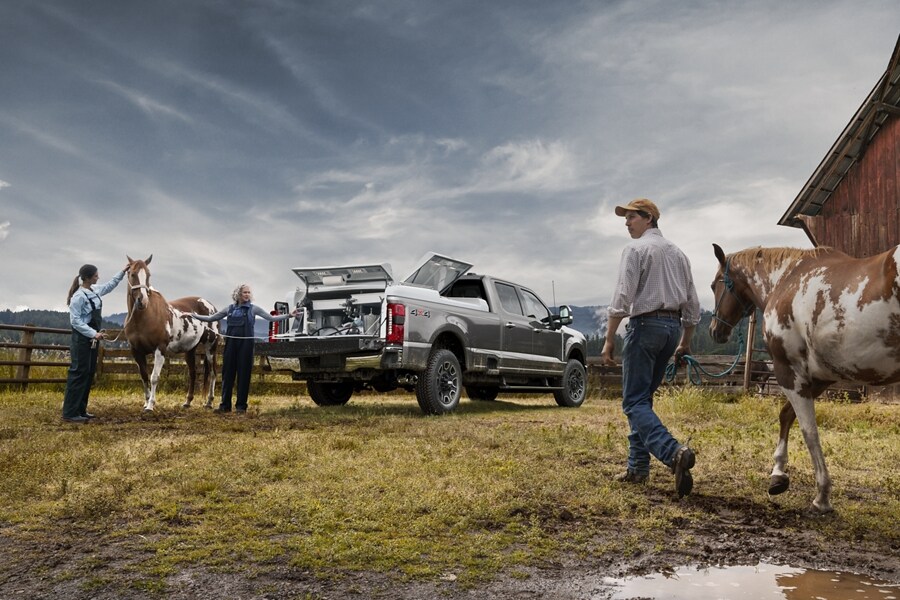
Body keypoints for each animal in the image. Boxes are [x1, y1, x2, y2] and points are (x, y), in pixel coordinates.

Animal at [124, 253, 219, 412]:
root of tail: (212, 307)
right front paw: (145, 402)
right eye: (132, 274)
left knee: (212, 372)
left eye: (148, 275)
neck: (144, 318)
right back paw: (187, 402)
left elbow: (154, 377)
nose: (142, 301)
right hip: (190, 350)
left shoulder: (160, 349)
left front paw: (151, 405)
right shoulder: (136, 351)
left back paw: (209, 402)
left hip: (210, 347)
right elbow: (144, 376)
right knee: (193, 373)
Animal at [712, 241, 900, 512]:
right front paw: (778, 473)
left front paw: (822, 494)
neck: (786, 279)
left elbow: (808, 431)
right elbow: (787, 416)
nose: (715, 330)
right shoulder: (819, 377)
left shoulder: (787, 371)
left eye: (713, 284)